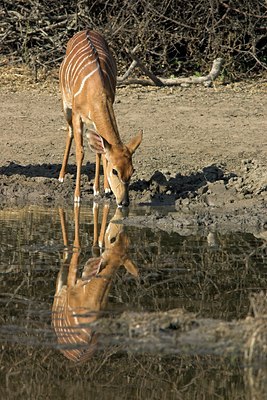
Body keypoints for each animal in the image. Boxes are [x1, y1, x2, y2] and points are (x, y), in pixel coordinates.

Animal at [58, 29, 142, 206]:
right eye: (115, 171)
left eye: (132, 171)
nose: (124, 202)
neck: (95, 89)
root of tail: (85, 30)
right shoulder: (77, 115)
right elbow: (80, 152)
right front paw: (77, 196)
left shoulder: (96, 120)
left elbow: (101, 151)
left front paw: (101, 189)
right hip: (66, 105)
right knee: (69, 131)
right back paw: (61, 176)